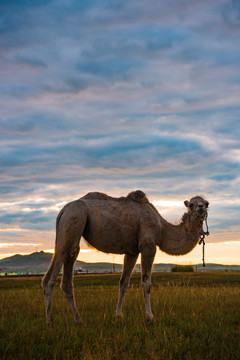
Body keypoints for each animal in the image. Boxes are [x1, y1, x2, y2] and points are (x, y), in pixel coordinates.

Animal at [42, 190, 209, 324]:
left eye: (206, 203)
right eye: (191, 204)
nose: (201, 207)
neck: (162, 229)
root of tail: (62, 211)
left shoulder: (132, 251)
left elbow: (124, 283)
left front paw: (118, 316)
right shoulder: (148, 245)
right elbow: (146, 282)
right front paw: (150, 317)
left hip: (71, 230)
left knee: (67, 276)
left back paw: (78, 320)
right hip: (73, 220)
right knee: (50, 277)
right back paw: (50, 321)